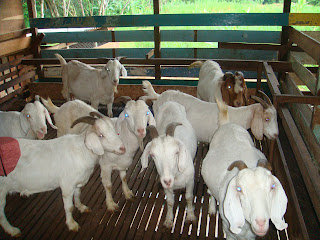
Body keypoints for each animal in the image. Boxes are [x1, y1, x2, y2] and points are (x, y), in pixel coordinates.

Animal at [141, 101, 196, 229]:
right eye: (152, 154)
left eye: (176, 152)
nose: (167, 181)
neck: (176, 175)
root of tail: (170, 102)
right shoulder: (167, 188)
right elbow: (170, 202)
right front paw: (168, 220)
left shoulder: (190, 181)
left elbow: (189, 197)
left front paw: (191, 216)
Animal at [200, 99, 288, 238]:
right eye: (239, 189)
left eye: (272, 187)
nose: (261, 222)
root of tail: (227, 124)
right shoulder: (229, 231)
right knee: (211, 192)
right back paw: (212, 208)